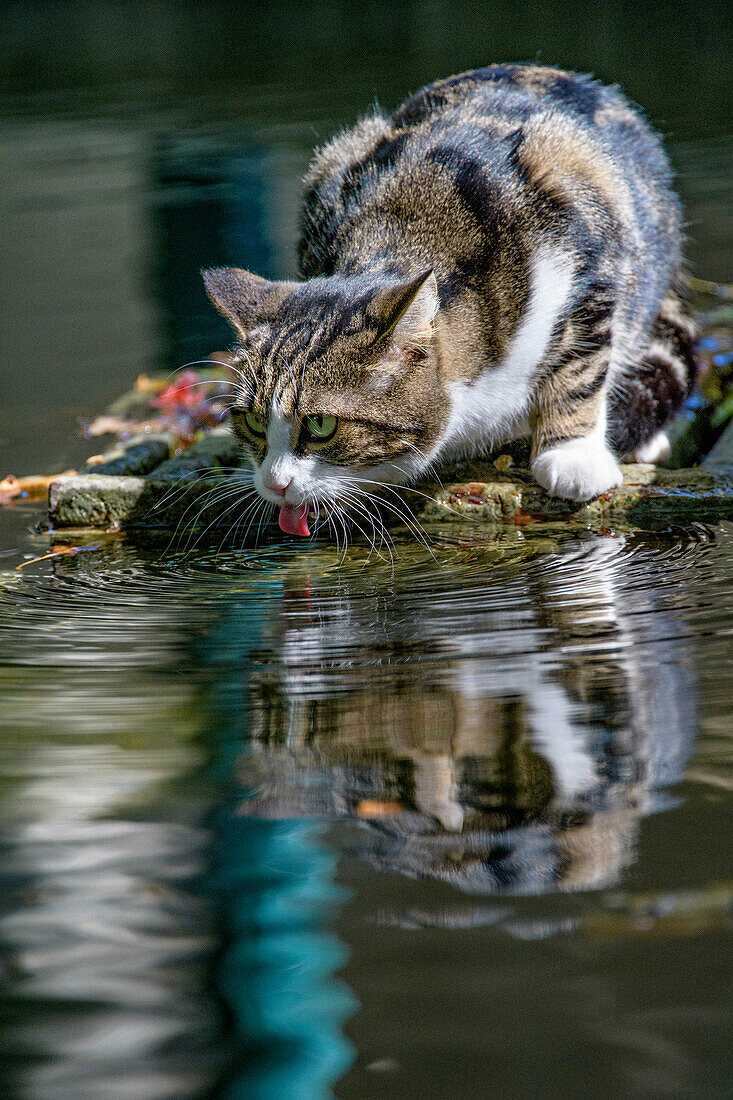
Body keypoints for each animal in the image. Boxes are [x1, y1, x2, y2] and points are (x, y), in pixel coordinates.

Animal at [202, 63, 695, 536]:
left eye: (322, 425)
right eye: (252, 423)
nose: (274, 483)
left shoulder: (582, 232)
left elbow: (582, 361)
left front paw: (573, 457)